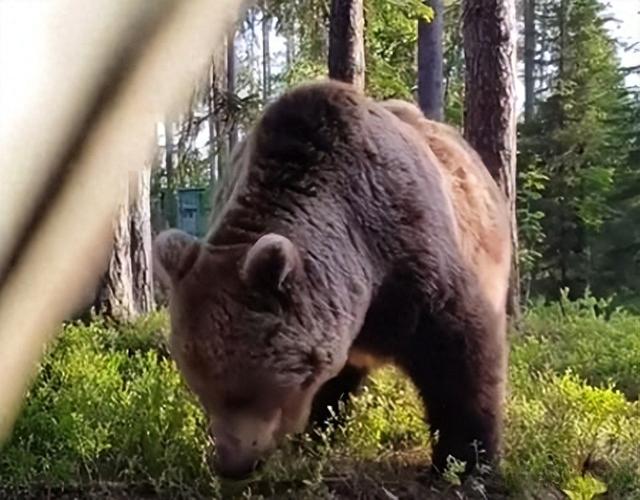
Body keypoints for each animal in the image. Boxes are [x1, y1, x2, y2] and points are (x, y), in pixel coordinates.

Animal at [153, 79, 511, 480]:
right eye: (200, 387)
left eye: (247, 391)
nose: (232, 464)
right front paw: (313, 432)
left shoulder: (416, 260)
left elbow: (459, 352)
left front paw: (466, 460)